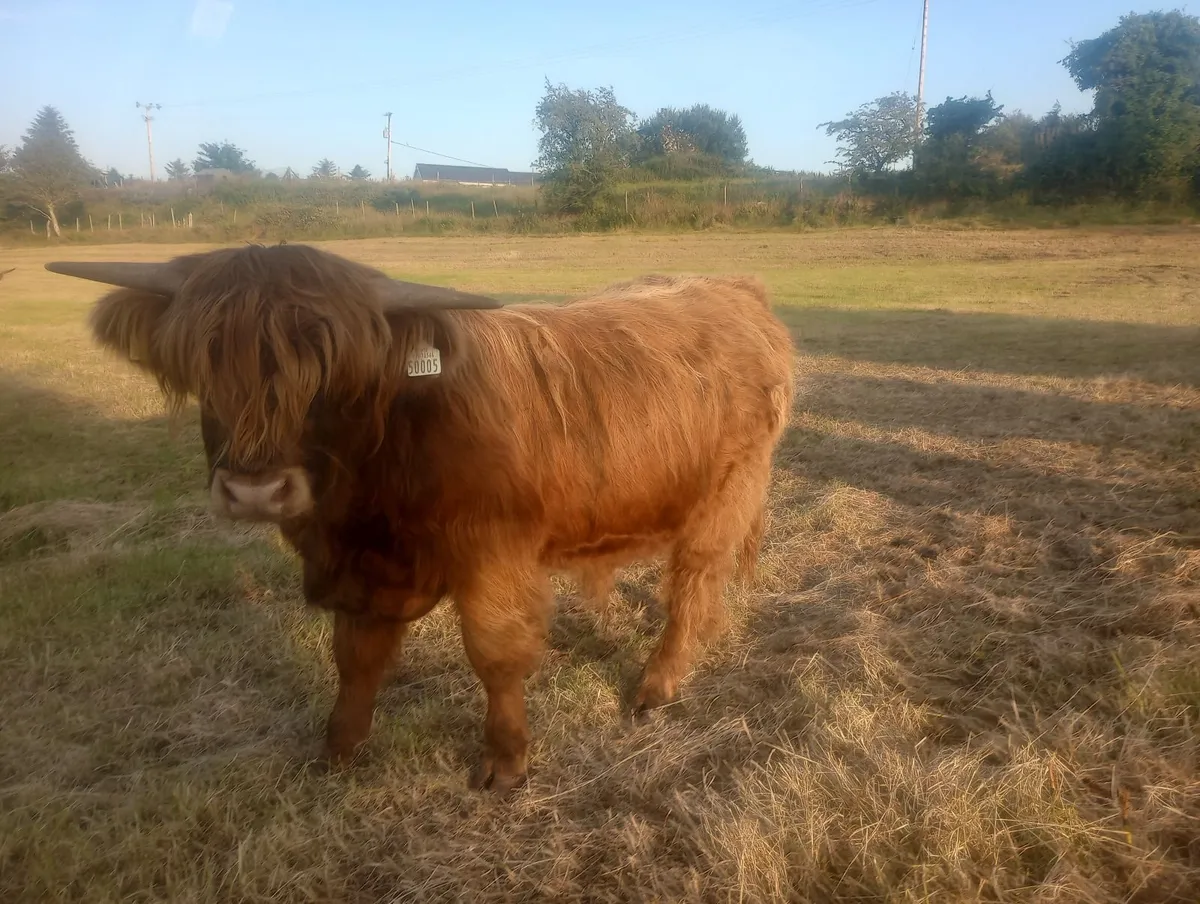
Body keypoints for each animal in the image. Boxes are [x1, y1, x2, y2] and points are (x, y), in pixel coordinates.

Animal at [44, 243, 796, 792]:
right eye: (206, 363)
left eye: (332, 375)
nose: (255, 491)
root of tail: (731, 287)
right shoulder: (363, 572)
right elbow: (355, 657)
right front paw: (338, 749)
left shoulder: (494, 558)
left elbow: (495, 654)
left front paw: (505, 762)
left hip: (726, 493)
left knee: (694, 586)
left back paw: (656, 686)